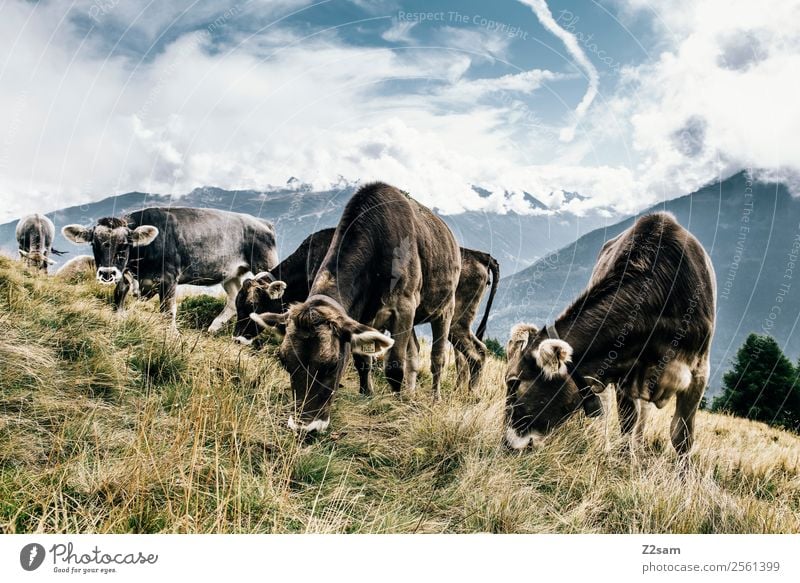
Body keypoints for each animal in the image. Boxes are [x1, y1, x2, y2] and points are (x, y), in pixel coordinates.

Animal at [61, 208, 278, 330]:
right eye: (94, 243)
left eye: (124, 244)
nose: (107, 273)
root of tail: (263, 222)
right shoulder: (126, 276)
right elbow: (118, 301)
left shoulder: (169, 278)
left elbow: (167, 312)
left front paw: (172, 336)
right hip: (230, 273)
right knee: (233, 299)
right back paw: (213, 328)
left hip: (265, 263)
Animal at [239, 226, 500, 394]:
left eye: (252, 305)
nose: (238, 338)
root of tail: (480, 255)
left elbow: (362, 357)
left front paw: (365, 391)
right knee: (463, 358)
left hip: (456, 320)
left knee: (476, 353)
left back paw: (470, 396)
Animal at [250, 182, 462, 434]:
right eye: (284, 361)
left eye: (331, 365)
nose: (303, 428)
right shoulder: (364, 317)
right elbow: (363, 361)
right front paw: (367, 393)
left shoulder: (404, 307)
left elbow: (394, 366)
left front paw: (396, 408)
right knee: (414, 352)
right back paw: (409, 395)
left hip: (445, 308)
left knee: (437, 358)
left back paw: (434, 398)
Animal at [504, 212, 716, 458]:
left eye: (513, 382)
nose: (506, 444)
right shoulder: (623, 368)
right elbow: (627, 420)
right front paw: (623, 459)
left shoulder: (699, 372)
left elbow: (682, 436)